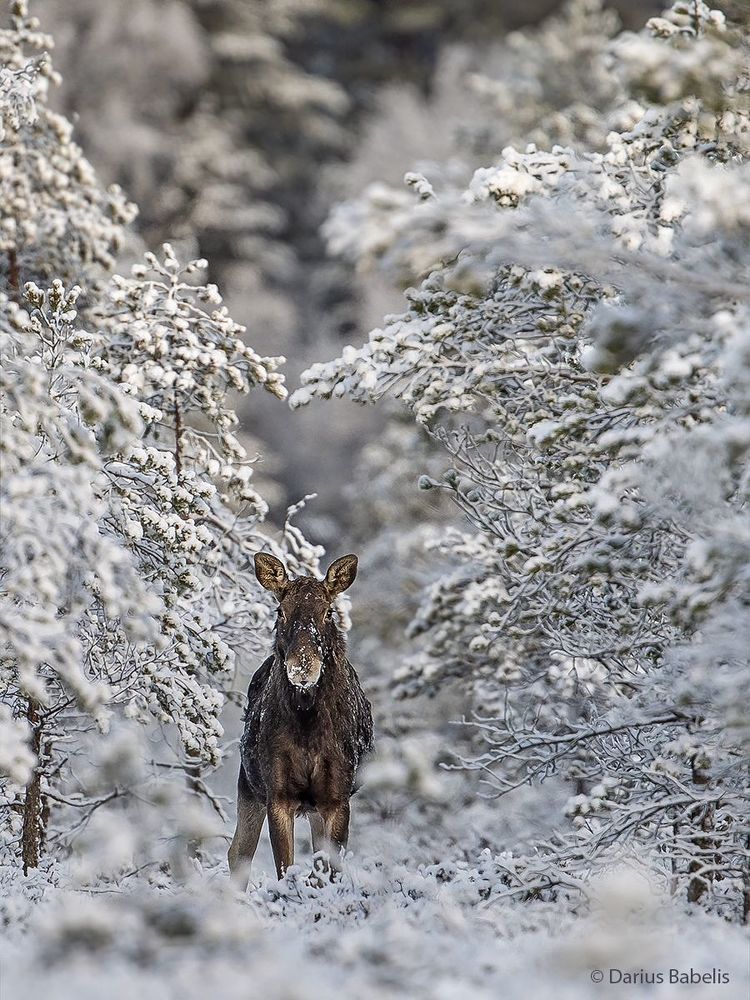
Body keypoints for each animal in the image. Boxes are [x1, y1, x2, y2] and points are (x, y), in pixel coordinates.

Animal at [228, 552, 374, 888]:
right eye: (280, 610)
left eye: (328, 611)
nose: (303, 667)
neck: (309, 728)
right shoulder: (277, 794)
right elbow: (286, 870)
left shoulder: (337, 797)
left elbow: (329, 871)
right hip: (248, 784)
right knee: (238, 853)